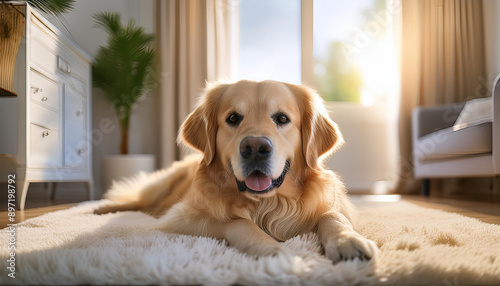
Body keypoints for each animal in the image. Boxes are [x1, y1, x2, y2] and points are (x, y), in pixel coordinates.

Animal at [94, 79, 376, 262]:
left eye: (282, 118)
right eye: (232, 118)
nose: (255, 148)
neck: (265, 204)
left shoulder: (333, 208)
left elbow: (332, 216)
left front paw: (346, 240)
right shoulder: (182, 218)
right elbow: (238, 222)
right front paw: (269, 247)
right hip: (162, 185)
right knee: (137, 199)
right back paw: (102, 209)